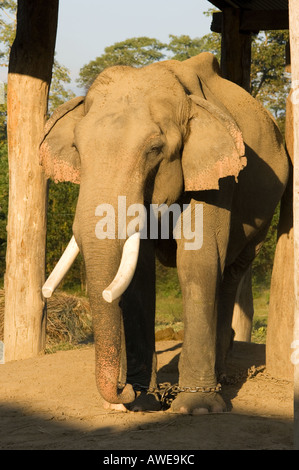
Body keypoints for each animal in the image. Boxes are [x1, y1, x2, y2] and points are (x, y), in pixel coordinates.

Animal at [39, 52, 288, 414]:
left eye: (155, 149)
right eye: (77, 148)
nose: (122, 390)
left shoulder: (216, 177)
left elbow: (197, 261)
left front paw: (196, 407)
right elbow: (139, 272)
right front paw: (143, 398)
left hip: (265, 213)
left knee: (230, 273)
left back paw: (221, 377)